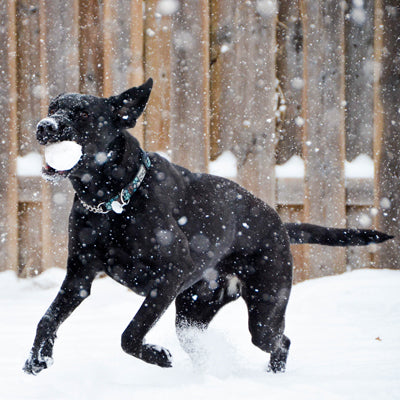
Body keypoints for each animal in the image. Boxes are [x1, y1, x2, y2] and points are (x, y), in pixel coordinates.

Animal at [23, 79, 392, 376]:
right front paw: (37, 359)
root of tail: (278, 222)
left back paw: (274, 376)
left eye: (83, 114)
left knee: (281, 341)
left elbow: (130, 334)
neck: (112, 201)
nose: (44, 126)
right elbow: (46, 318)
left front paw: (158, 356)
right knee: (205, 340)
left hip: (265, 308)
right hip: (193, 312)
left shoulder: (170, 273)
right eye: (53, 107)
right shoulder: (79, 277)